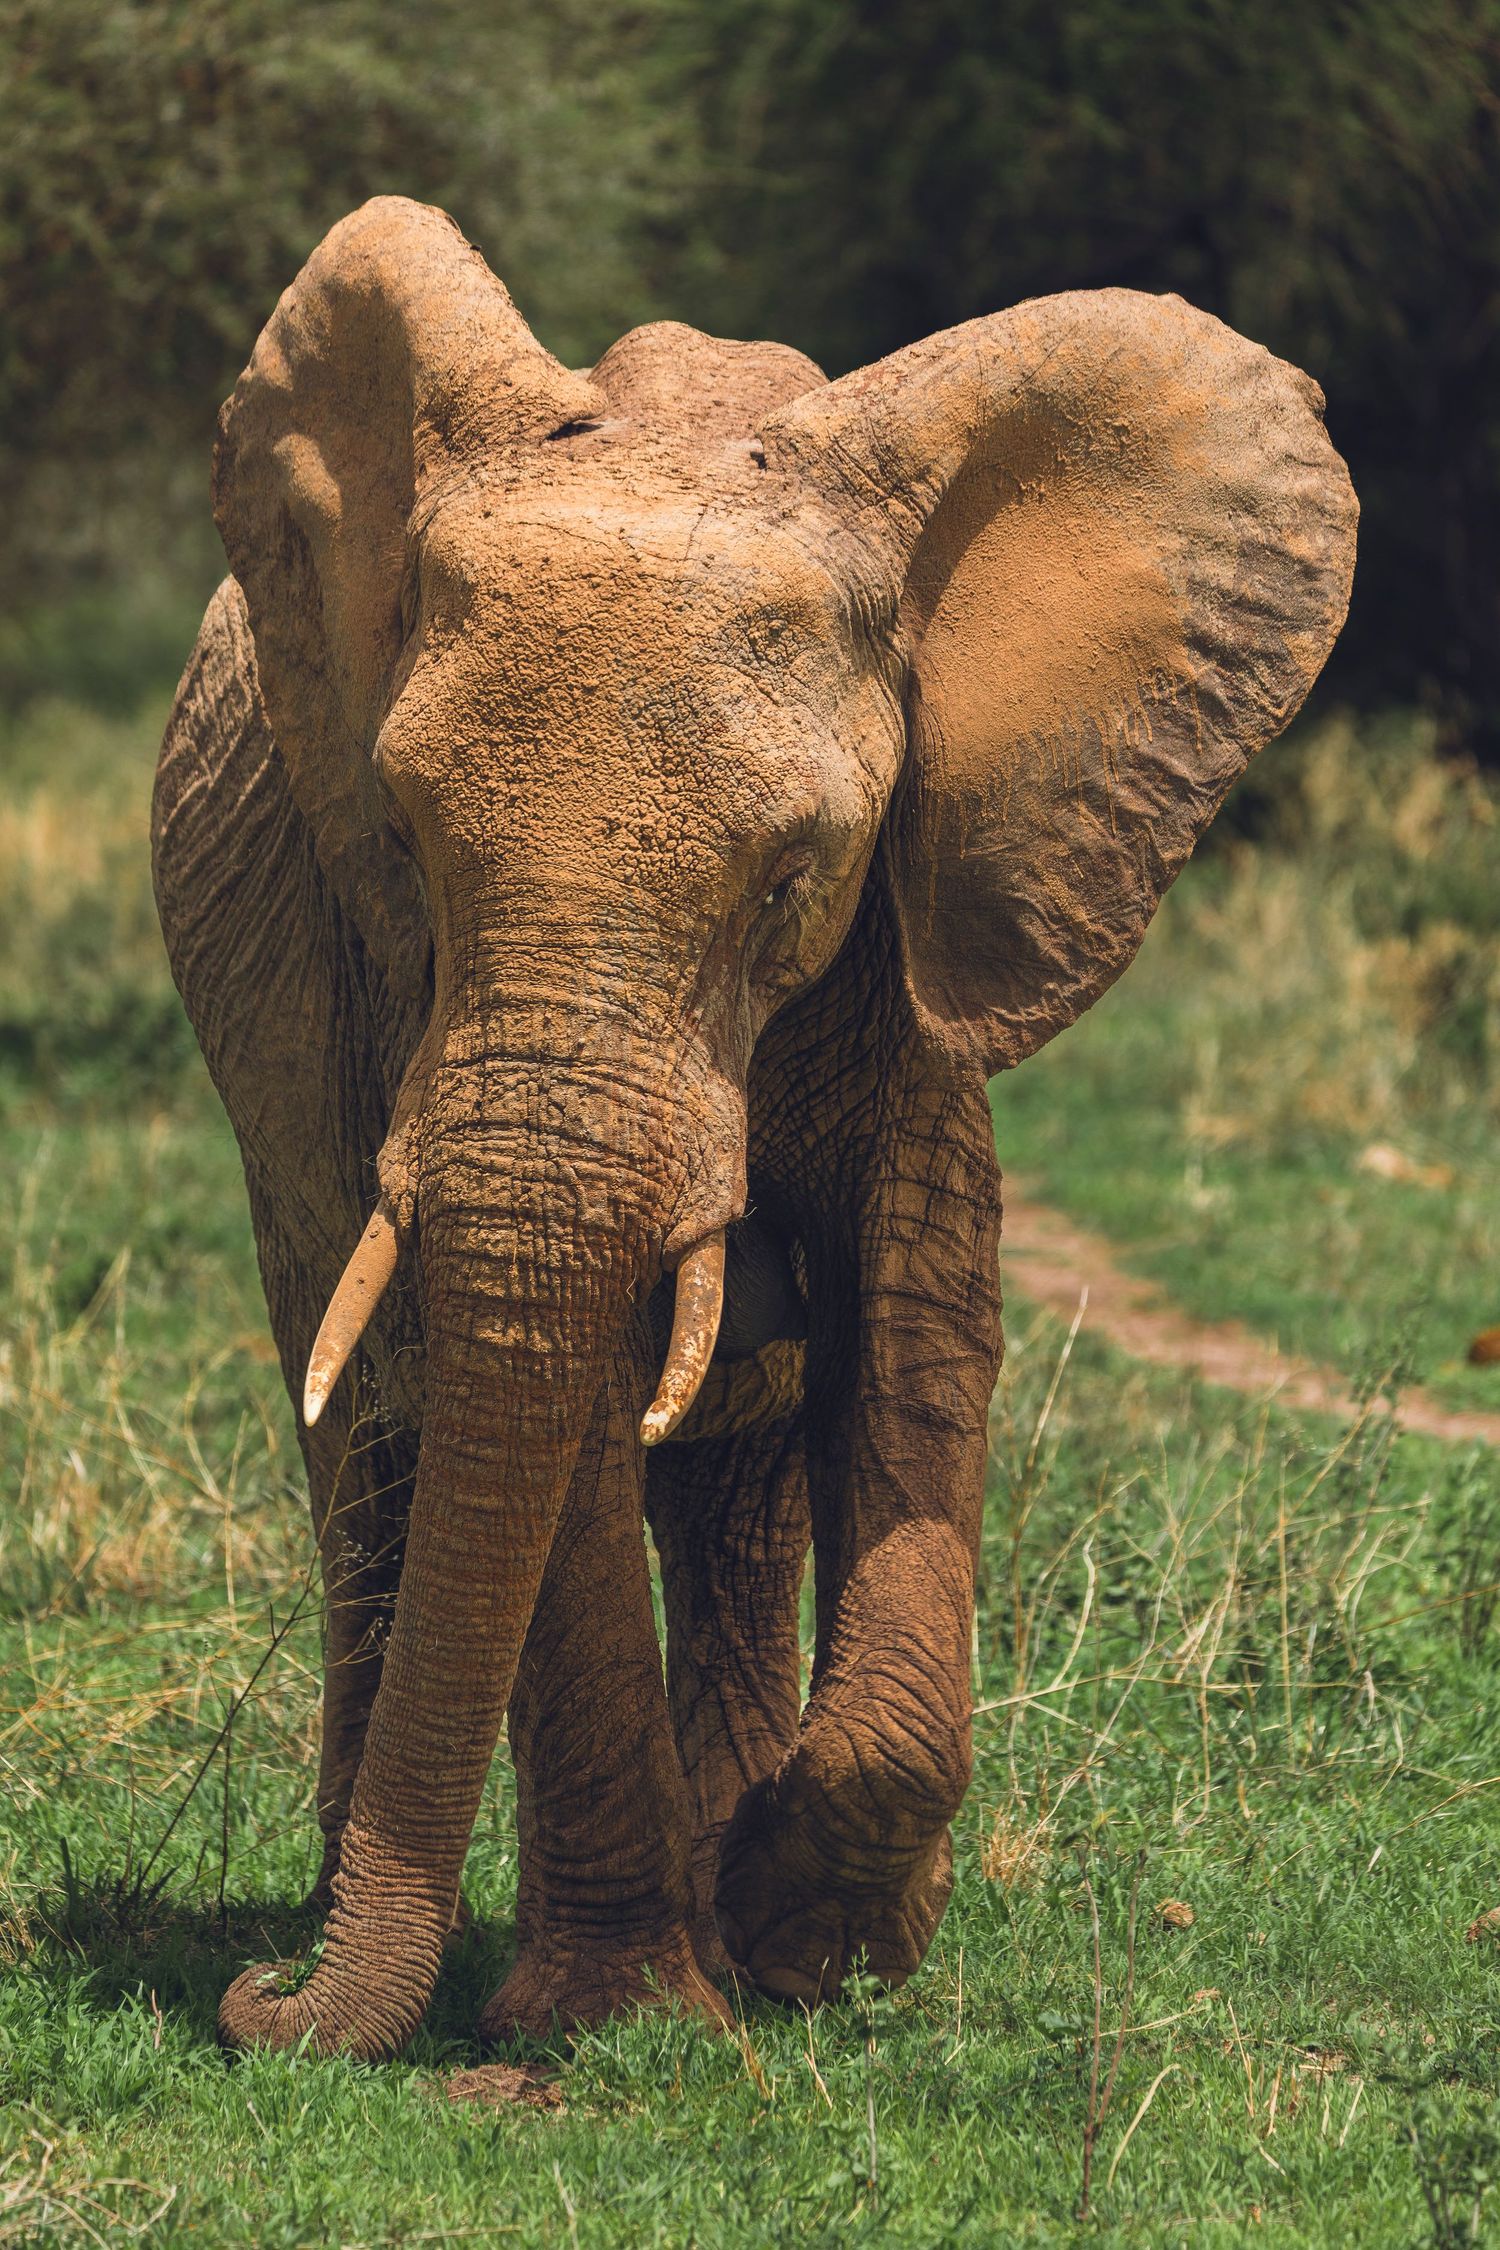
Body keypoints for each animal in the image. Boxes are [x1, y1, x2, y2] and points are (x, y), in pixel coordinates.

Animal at [151, 196, 1355, 2062]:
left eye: (797, 871)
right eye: (403, 848)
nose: (261, 2010)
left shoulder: (927, 906)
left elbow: (916, 1321)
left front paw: (806, 1931)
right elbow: (547, 1383)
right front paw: (621, 2027)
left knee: (732, 1482)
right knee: (370, 1441)